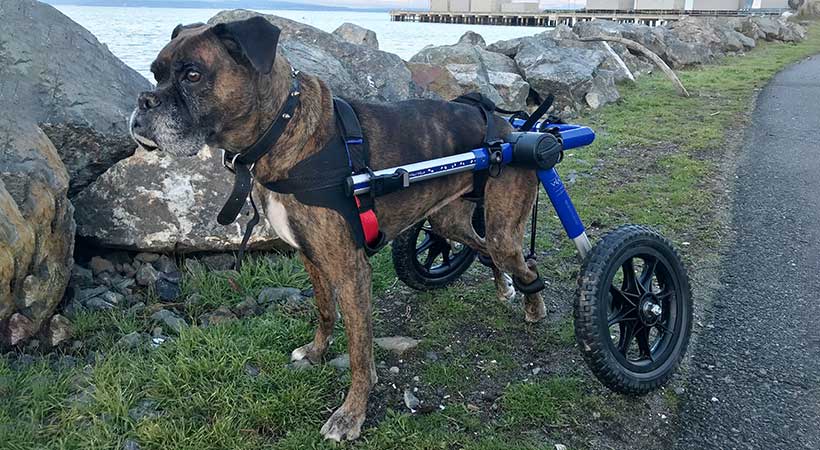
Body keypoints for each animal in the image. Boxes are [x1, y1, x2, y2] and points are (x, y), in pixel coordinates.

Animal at [131, 16, 548, 440]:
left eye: (193, 75)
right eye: (156, 74)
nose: (144, 101)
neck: (281, 131)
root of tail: (509, 127)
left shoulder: (351, 270)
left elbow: (360, 350)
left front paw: (351, 414)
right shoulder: (311, 256)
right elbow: (324, 311)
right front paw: (316, 353)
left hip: (502, 230)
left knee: (525, 263)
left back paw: (533, 306)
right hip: (449, 222)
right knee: (484, 249)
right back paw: (504, 286)